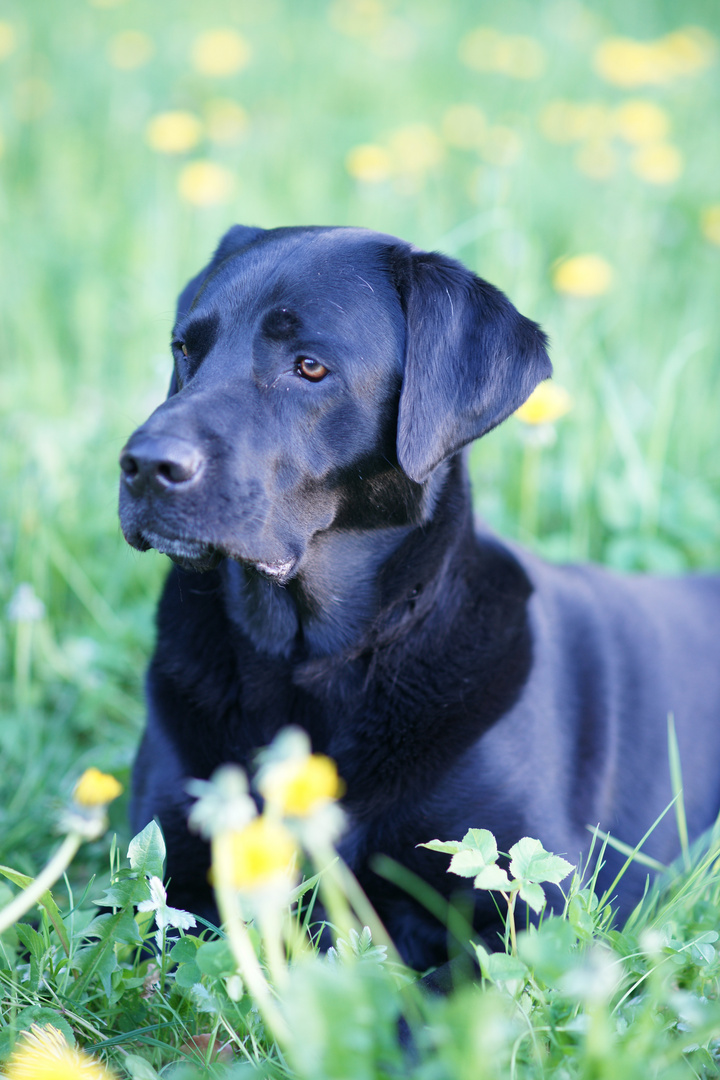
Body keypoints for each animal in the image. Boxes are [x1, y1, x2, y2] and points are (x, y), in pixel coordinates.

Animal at [120, 225, 720, 972]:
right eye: (185, 349)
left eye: (309, 366)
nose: (144, 464)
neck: (306, 662)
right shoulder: (173, 879)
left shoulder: (527, 906)